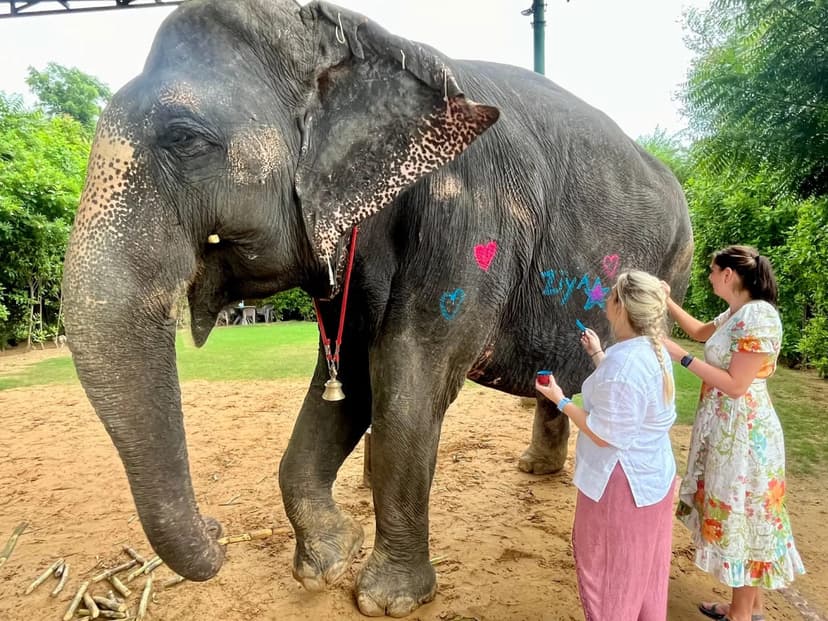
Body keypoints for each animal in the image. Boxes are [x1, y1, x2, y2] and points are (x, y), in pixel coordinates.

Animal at [62, 0, 693, 617]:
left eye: (186, 139)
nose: (217, 531)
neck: (354, 37)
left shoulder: (470, 218)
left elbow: (406, 376)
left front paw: (388, 599)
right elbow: (349, 381)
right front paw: (326, 565)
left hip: (676, 263)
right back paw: (537, 471)